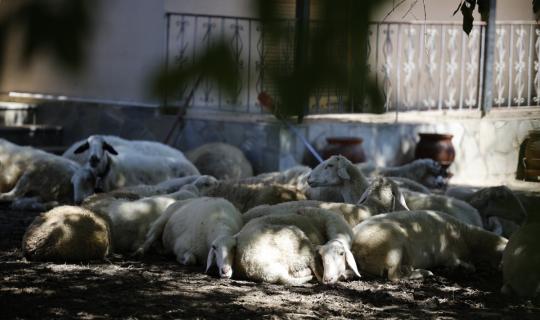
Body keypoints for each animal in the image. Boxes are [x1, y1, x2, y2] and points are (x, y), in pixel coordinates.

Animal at [352, 211, 508, 282]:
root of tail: (355, 249)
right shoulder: (448, 252)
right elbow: (461, 264)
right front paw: (464, 267)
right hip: (392, 245)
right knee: (394, 276)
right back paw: (424, 273)